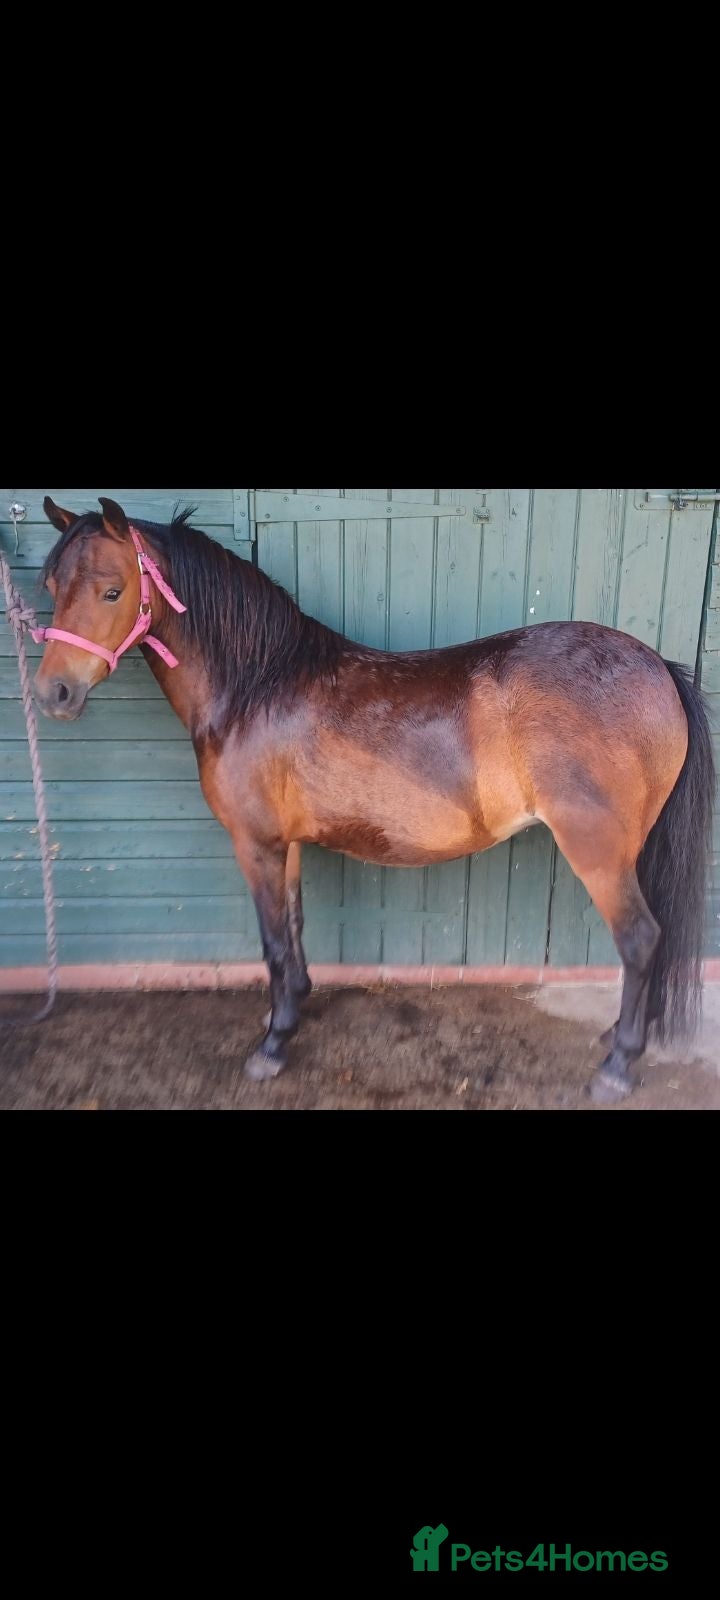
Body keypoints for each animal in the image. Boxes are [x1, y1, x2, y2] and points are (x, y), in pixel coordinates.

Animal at [32, 495, 715, 1105]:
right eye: (50, 585)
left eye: (112, 591)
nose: (53, 694)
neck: (256, 685)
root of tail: (657, 666)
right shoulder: (288, 844)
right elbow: (295, 928)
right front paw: (292, 1011)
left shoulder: (256, 844)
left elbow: (272, 942)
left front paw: (272, 1047)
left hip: (596, 849)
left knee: (640, 940)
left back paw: (618, 1066)